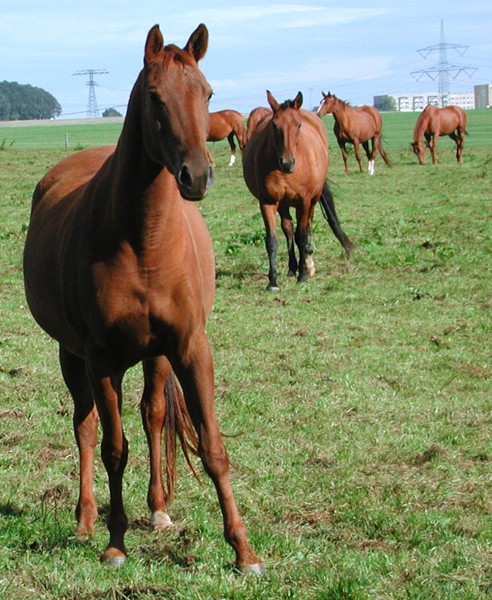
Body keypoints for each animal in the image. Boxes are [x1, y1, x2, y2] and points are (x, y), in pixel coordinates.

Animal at [22, 24, 264, 576]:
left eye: (208, 93)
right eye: (155, 96)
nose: (197, 175)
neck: (144, 241)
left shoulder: (190, 347)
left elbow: (212, 446)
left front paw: (244, 550)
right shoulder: (101, 358)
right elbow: (114, 448)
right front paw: (115, 543)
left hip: (157, 356)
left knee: (153, 415)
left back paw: (156, 511)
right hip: (72, 356)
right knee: (86, 428)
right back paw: (86, 520)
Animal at [242, 89, 354, 292]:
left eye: (298, 125)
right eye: (274, 126)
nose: (287, 163)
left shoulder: (304, 201)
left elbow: (301, 236)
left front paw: (303, 275)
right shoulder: (267, 202)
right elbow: (272, 240)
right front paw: (273, 281)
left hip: (313, 200)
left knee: (307, 226)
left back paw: (307, 262)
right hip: (283, 204)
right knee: (288, 229)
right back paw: (292, 267)